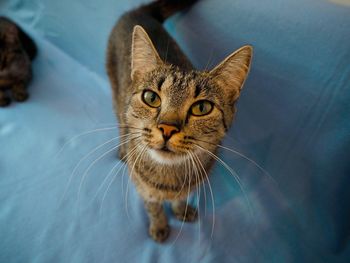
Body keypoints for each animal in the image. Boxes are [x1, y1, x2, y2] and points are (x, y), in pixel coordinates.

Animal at [105, 0, 253, 243]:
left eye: (202, 108)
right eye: (151, 98)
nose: (167, 128)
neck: (169, 178)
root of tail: (140, 11)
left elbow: (181, 198)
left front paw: (181, 209)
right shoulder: (143, 188)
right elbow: (153, 206)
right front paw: (159, 225)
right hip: (115, 90)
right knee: (120, 120)